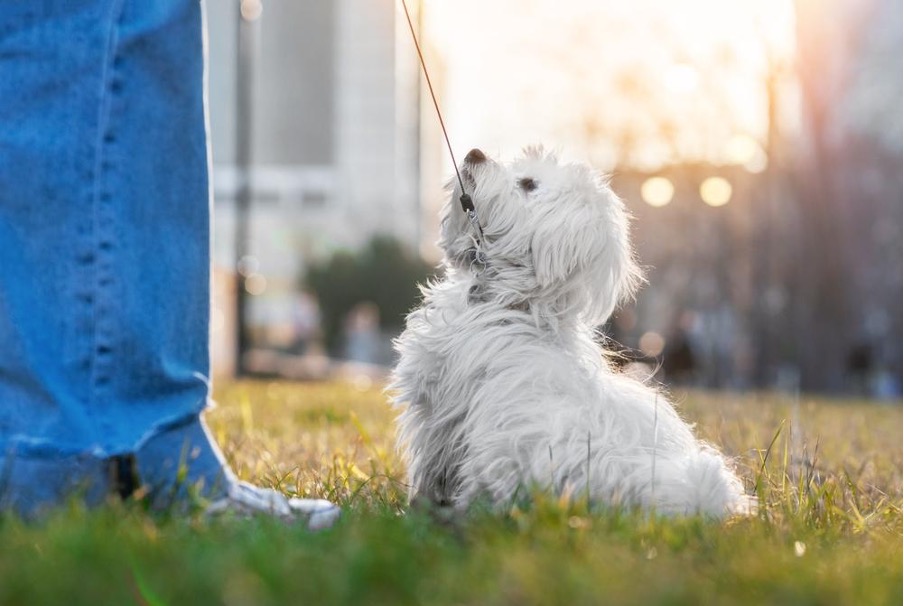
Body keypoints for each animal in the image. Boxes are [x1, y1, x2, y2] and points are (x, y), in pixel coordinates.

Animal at [392, 147, 752, 516]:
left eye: (528, 184)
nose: (475, 153)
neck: (517, 302)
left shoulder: (439, 409)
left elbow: (430, 465)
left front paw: (414, 509)